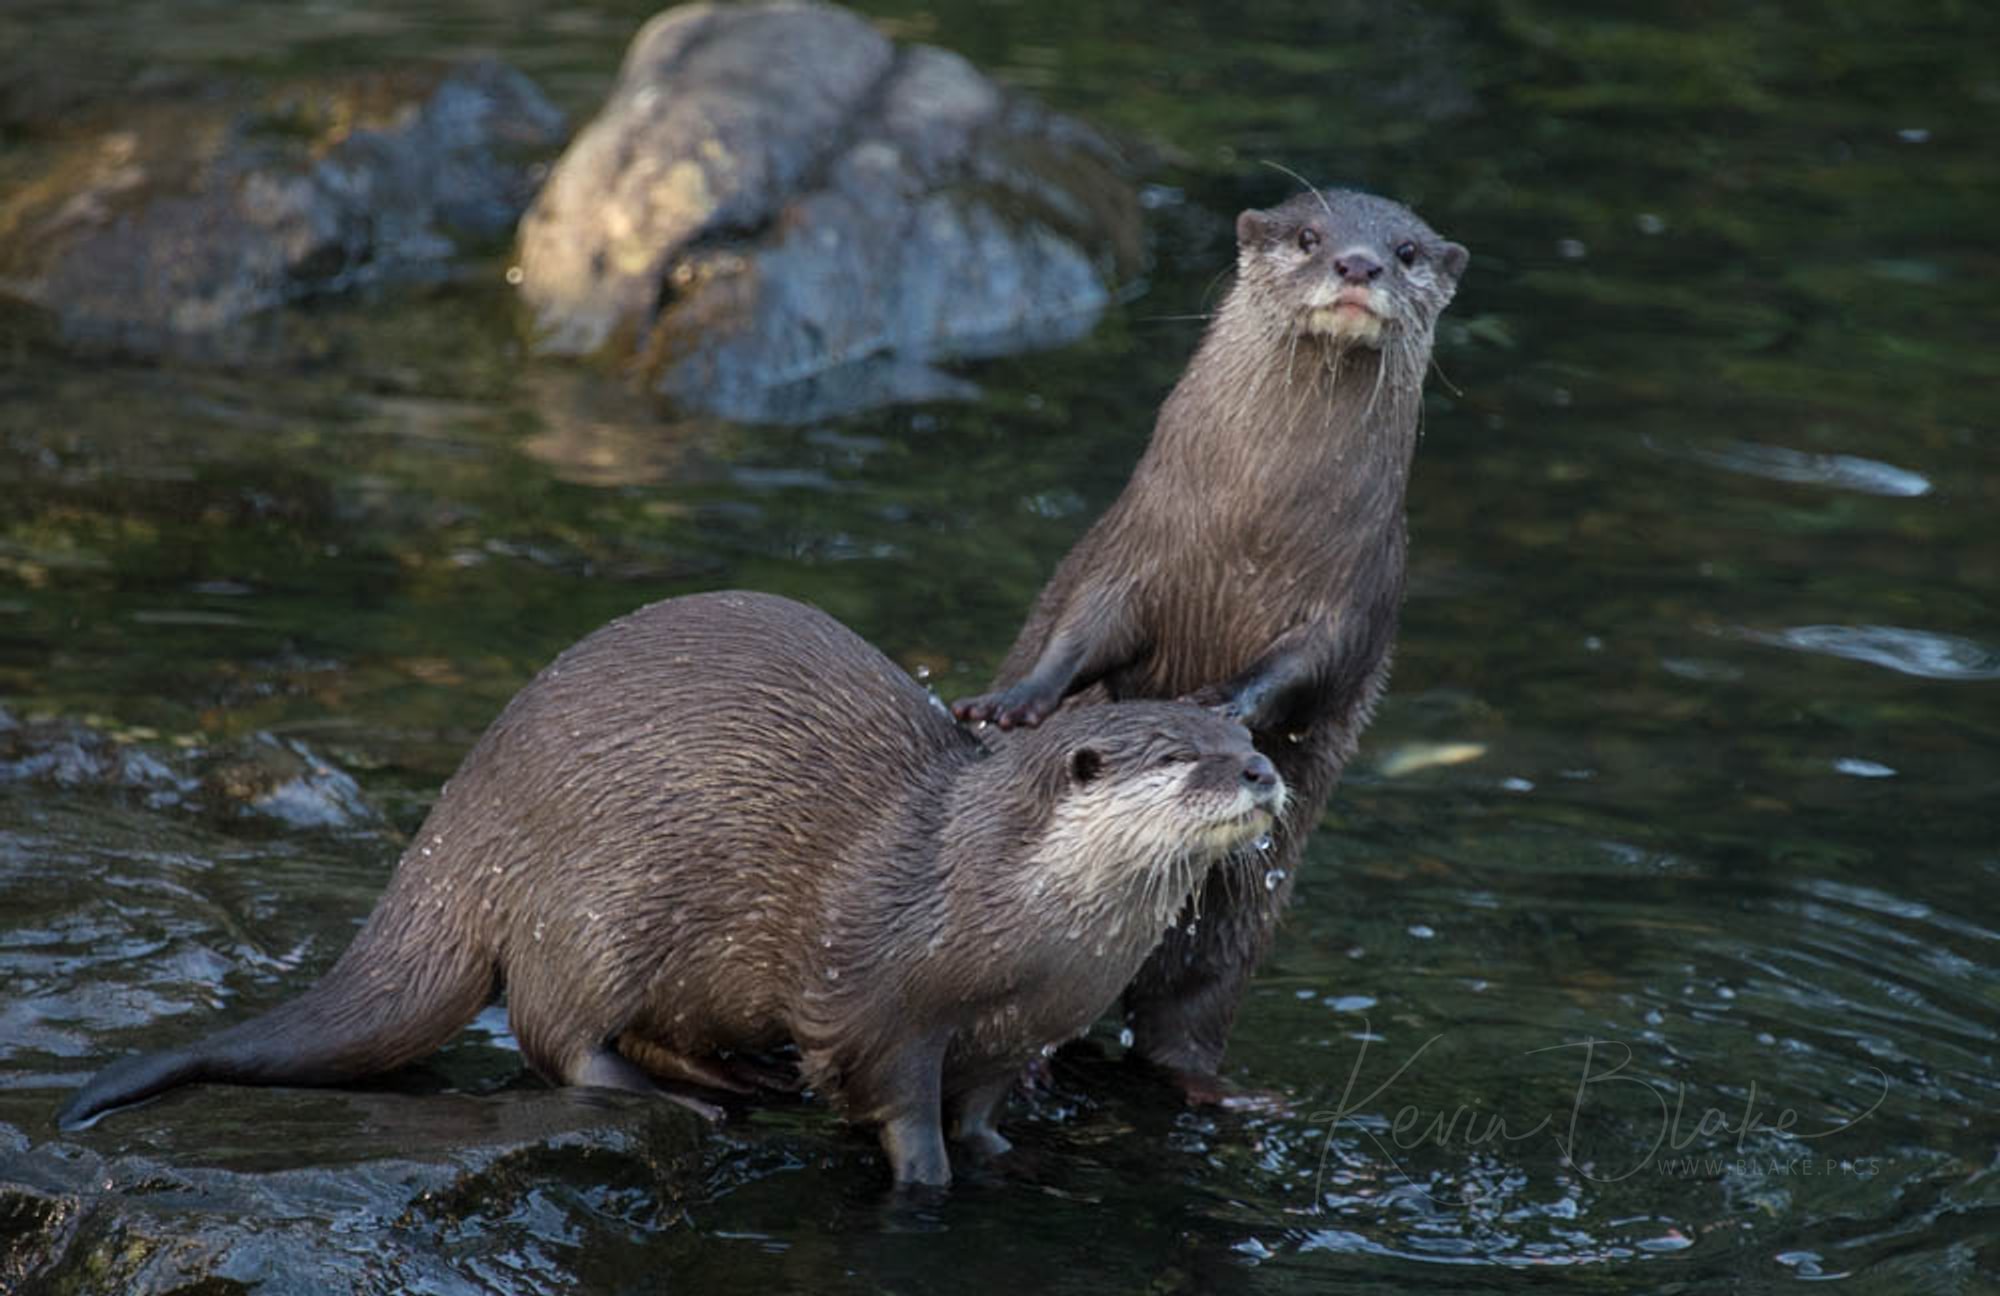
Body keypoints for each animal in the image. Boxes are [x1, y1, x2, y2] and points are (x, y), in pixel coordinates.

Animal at [58, 592, 1284, 1186]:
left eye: (1243, 735)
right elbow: (896, 1107)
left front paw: (998, 1158)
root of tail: (459, 831)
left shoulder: (1014, 1033)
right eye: (1182, 755)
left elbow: (979, 1109)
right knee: (554, 1033)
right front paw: (930, 1182)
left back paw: (733, 1073)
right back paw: (679, 1097)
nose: (1263, 774)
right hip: (599, 902)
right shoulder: (878, 1000)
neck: (1007, 928)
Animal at [954, 187, 1467, 1098]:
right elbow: (1084, 627)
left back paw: (1214, 1089)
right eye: (1310, 236)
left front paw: (1223, 702)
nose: (1359, 264)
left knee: (1185, 1011)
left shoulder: (1357, 599)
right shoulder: (1134, 547)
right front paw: (1015, 703)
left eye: (1406, 251)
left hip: (1237, 925)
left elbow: (1309, 667)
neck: (1253, 530)